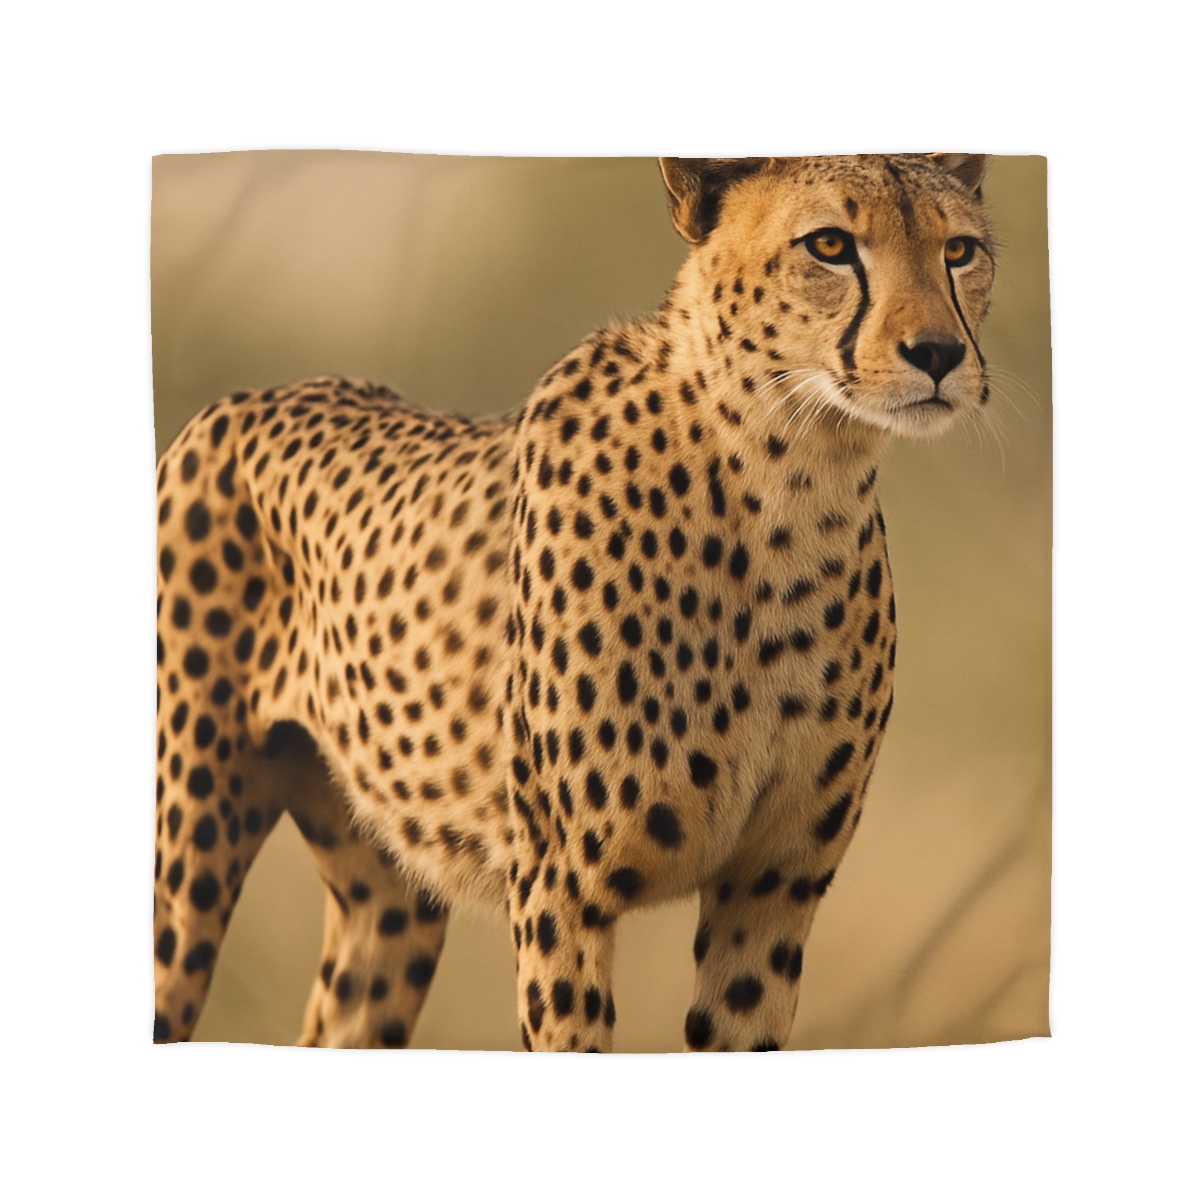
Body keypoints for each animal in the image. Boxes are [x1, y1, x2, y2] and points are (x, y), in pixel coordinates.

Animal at [153, 153, 994, 1052]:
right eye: (830, 245)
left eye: (960, 250)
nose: (939, 352)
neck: (790, 482)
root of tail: (240, 399)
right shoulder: (562, 888)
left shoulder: (772, 888)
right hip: (189, 853)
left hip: (388, 895)